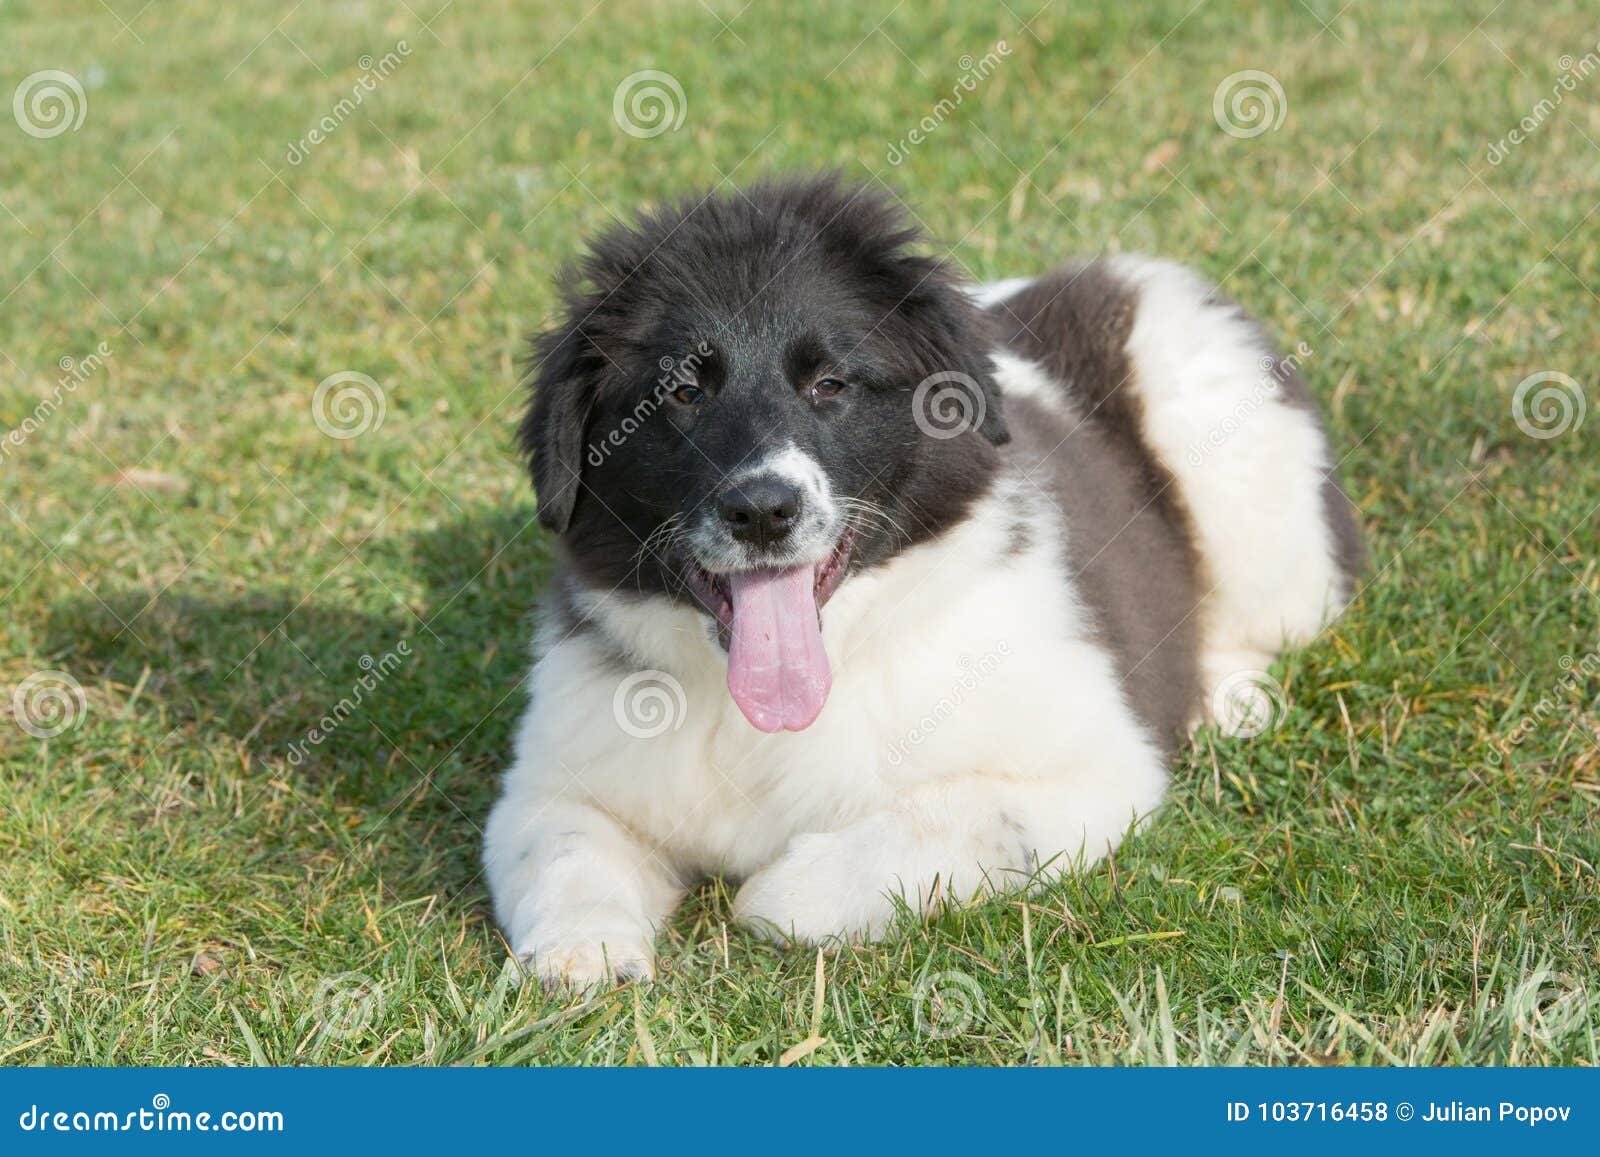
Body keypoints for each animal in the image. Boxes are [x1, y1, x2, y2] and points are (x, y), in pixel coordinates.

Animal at [476, 174, 1363, 985]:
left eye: (829, 384)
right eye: (683, 393)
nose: (762, 510)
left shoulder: (1095, 770)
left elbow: (914, 835)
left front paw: (769, 892)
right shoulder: (554, 781)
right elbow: (561, 850)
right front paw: (579, 955)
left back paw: (1227, 697)